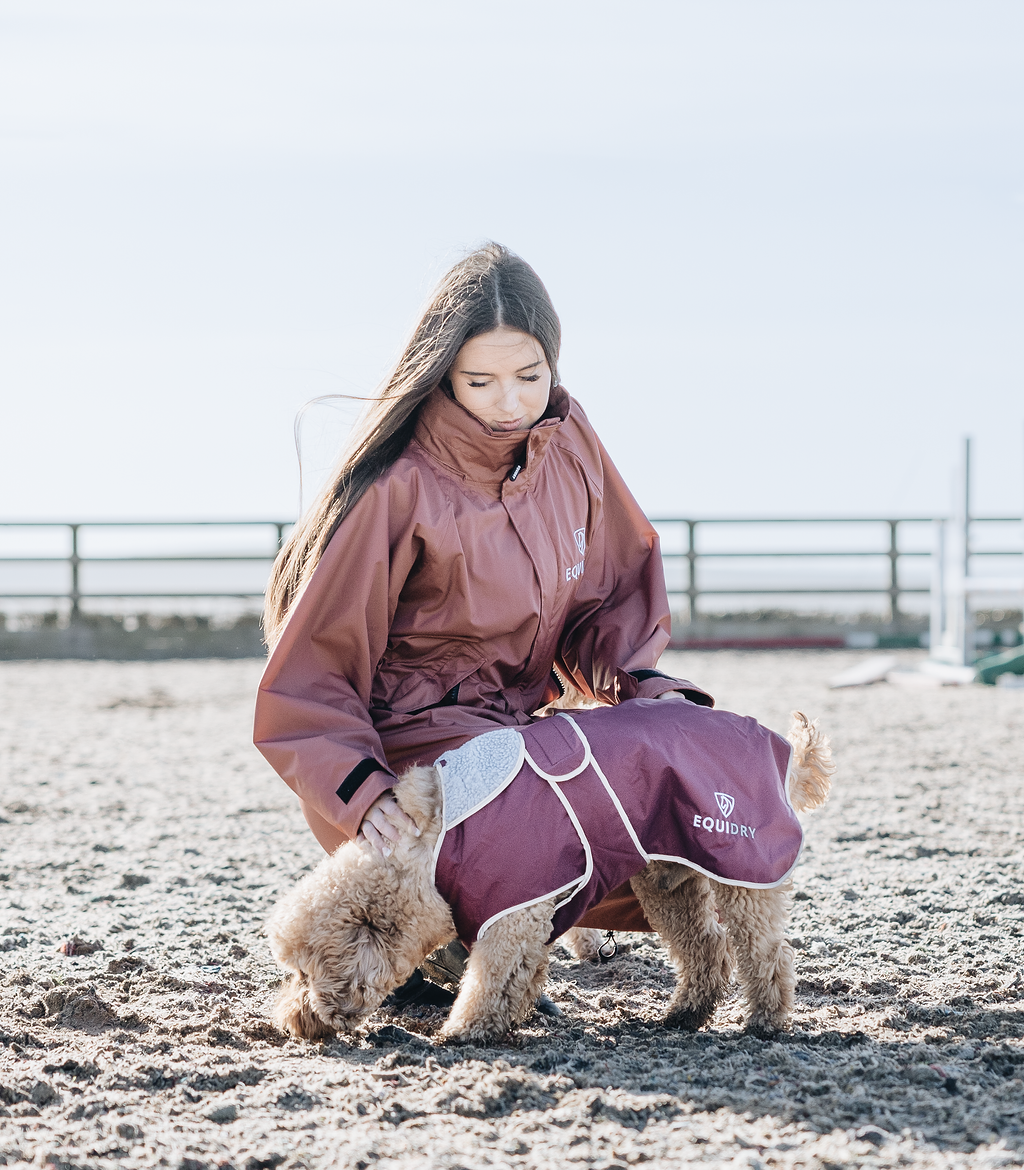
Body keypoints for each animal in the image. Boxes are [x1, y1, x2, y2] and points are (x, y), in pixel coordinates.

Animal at [266, 702, 833, 1043]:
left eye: (303, 972)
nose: (290, 1022)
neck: (429, 854)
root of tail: (787, 751)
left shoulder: (512, 914)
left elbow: (489, 981)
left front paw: (463, 1032)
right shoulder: (524, 917)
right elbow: (513, 979)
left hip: (743, 872)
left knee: (767, 953)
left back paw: (764, 1021)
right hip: (669, 881)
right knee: (707, 949)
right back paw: (683, 1016)